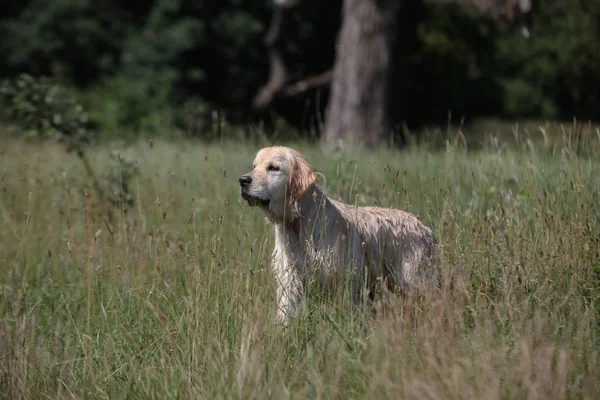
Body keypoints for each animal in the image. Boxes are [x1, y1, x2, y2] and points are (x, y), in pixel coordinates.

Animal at [237, 145, 438, 324]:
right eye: (255, 166)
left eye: (273, 168)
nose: (243, 180)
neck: (301, 221)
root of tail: (426, 229)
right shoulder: (291, 278)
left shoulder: (344, 279)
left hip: (415, 282)